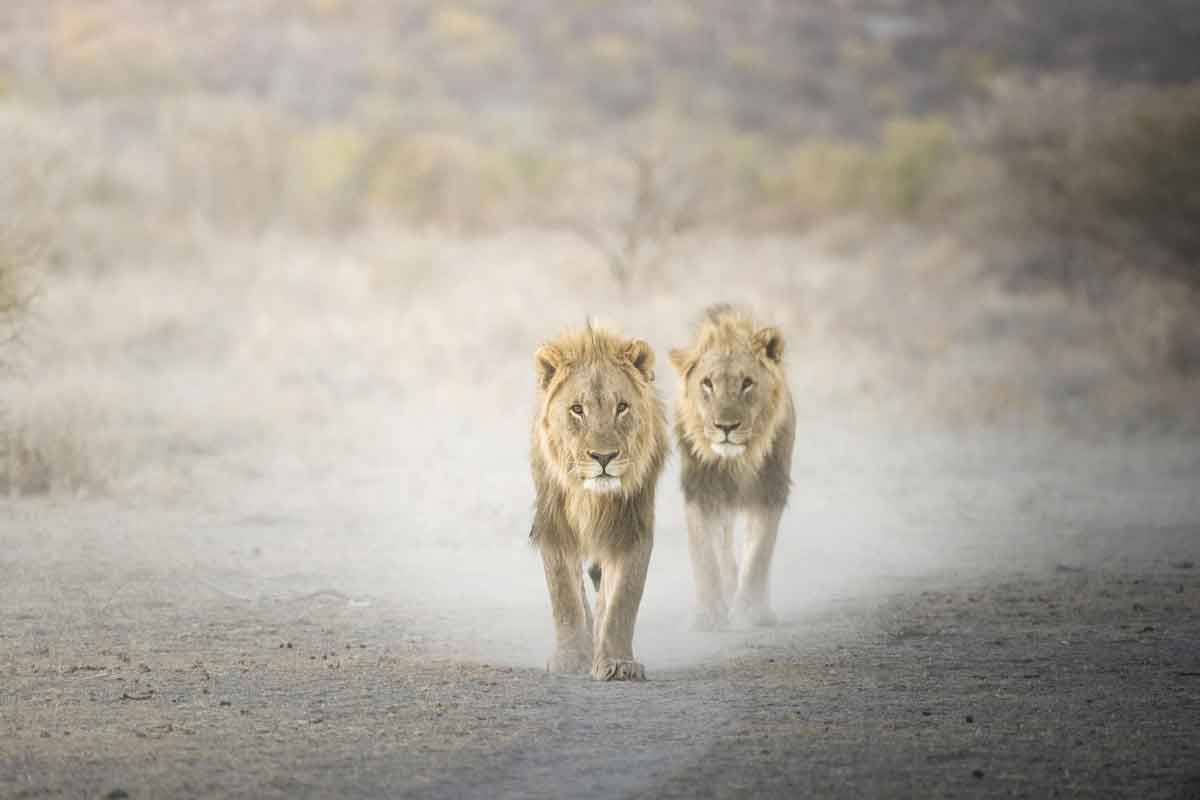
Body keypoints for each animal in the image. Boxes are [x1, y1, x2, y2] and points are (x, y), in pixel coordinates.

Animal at [530, 321, 672, 681]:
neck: (592, 498)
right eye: (577, 409)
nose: (604, 457)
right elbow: (564, 595)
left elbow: (622, 600)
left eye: (621, 407)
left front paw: (618, 663)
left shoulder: (632, 528)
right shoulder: (553, 525)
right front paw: (570, 658)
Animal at [672, 307, 792, 633]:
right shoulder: (699, 493)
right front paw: (709, 614)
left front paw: (751, 612)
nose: (726, 427)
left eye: (747, 382)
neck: (735, 461)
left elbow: (759, 554)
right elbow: (705, 557)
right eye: (707, 383)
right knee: (723, 549)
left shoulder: (769, 491)